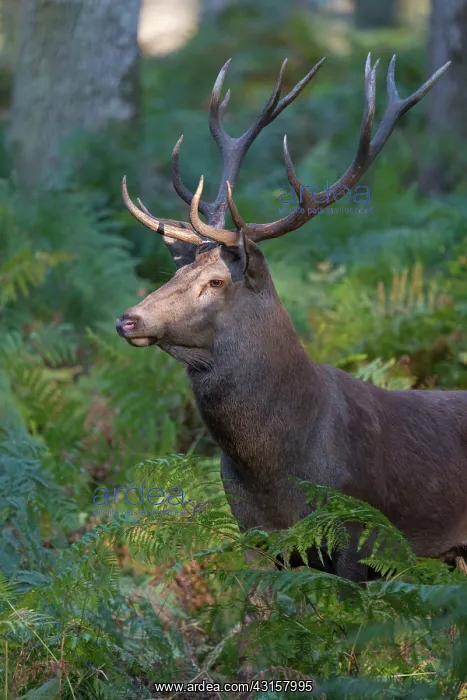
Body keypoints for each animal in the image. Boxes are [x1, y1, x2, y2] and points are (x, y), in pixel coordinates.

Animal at [115, 54, 463, 584]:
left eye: (216, 281)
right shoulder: (256, 537)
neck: (278, 468)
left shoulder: (363, 537)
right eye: (176, 270)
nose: (129, 320)